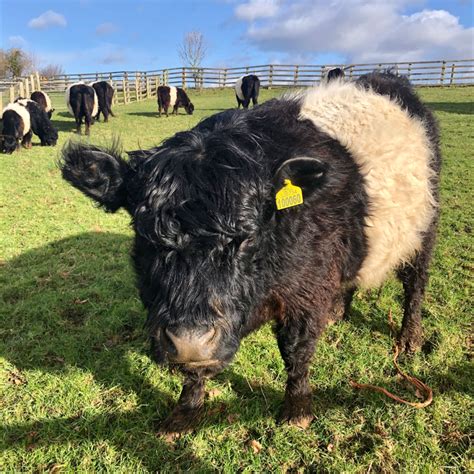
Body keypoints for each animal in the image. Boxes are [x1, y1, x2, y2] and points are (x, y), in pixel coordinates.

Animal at [59, 72, 440, 436]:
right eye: (144, 232)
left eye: (247, 236)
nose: (189, 342)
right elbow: (197, 369)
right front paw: (184, 413)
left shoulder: (306, 291)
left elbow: (295, 350)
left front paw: (297, 409)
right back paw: (337, 312)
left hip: (424, 228)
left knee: (415, 284)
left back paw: (410, 339)